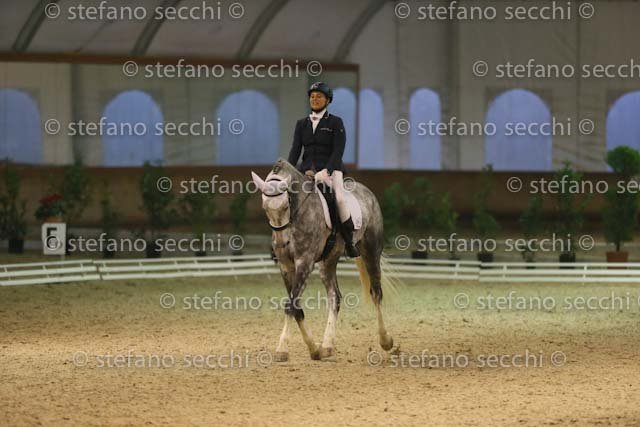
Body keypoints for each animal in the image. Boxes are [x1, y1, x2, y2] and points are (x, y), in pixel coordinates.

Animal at [251, 158, 395, 361]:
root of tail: (368, 193)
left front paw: (281, 349)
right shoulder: (286, 268)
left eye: (286, 206)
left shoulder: (305, 263)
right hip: (328, 262)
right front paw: (314, 348)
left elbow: (290, 305)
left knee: (376, 293)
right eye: (265, 208)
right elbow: (296, 307)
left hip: (371, 251)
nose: (281, 244)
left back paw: (386, 341)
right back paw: (327, 345)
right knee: (335, 296)